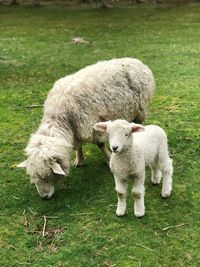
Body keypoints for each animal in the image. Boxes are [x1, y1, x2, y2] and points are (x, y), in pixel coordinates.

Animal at [17, 59, 155, 201]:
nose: (44, 197)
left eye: (47, 176)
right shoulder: (75, 129)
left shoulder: (91, 124)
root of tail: (136, 61)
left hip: (140, 109)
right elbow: (78, 145)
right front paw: (79, 160)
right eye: (33, 177)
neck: (60, 116)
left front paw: (108, 159)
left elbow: (100, 144)